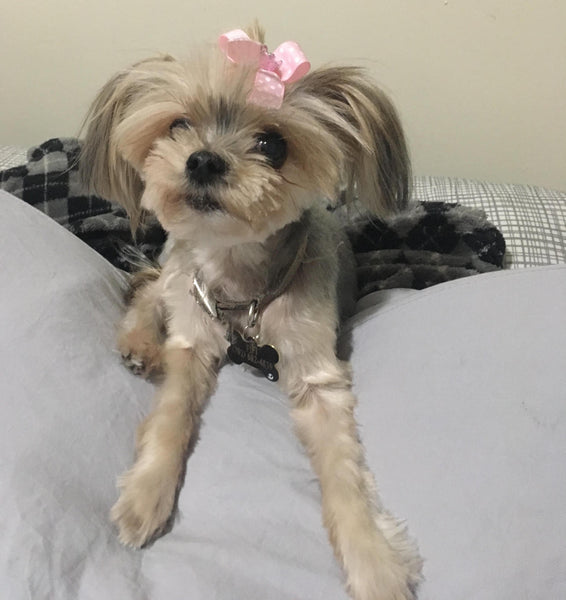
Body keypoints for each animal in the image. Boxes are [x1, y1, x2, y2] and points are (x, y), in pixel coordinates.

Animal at [82, 23, 424, 600]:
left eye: (273, 145)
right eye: (178, 125)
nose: (203, 159)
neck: (240, 281)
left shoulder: (316, 374)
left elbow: (344, 472)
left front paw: (373, 559)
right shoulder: (193, 337)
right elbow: (172, 414)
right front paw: (146, 492)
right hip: (177, 268)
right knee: (151, 291)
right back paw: (140, 344)